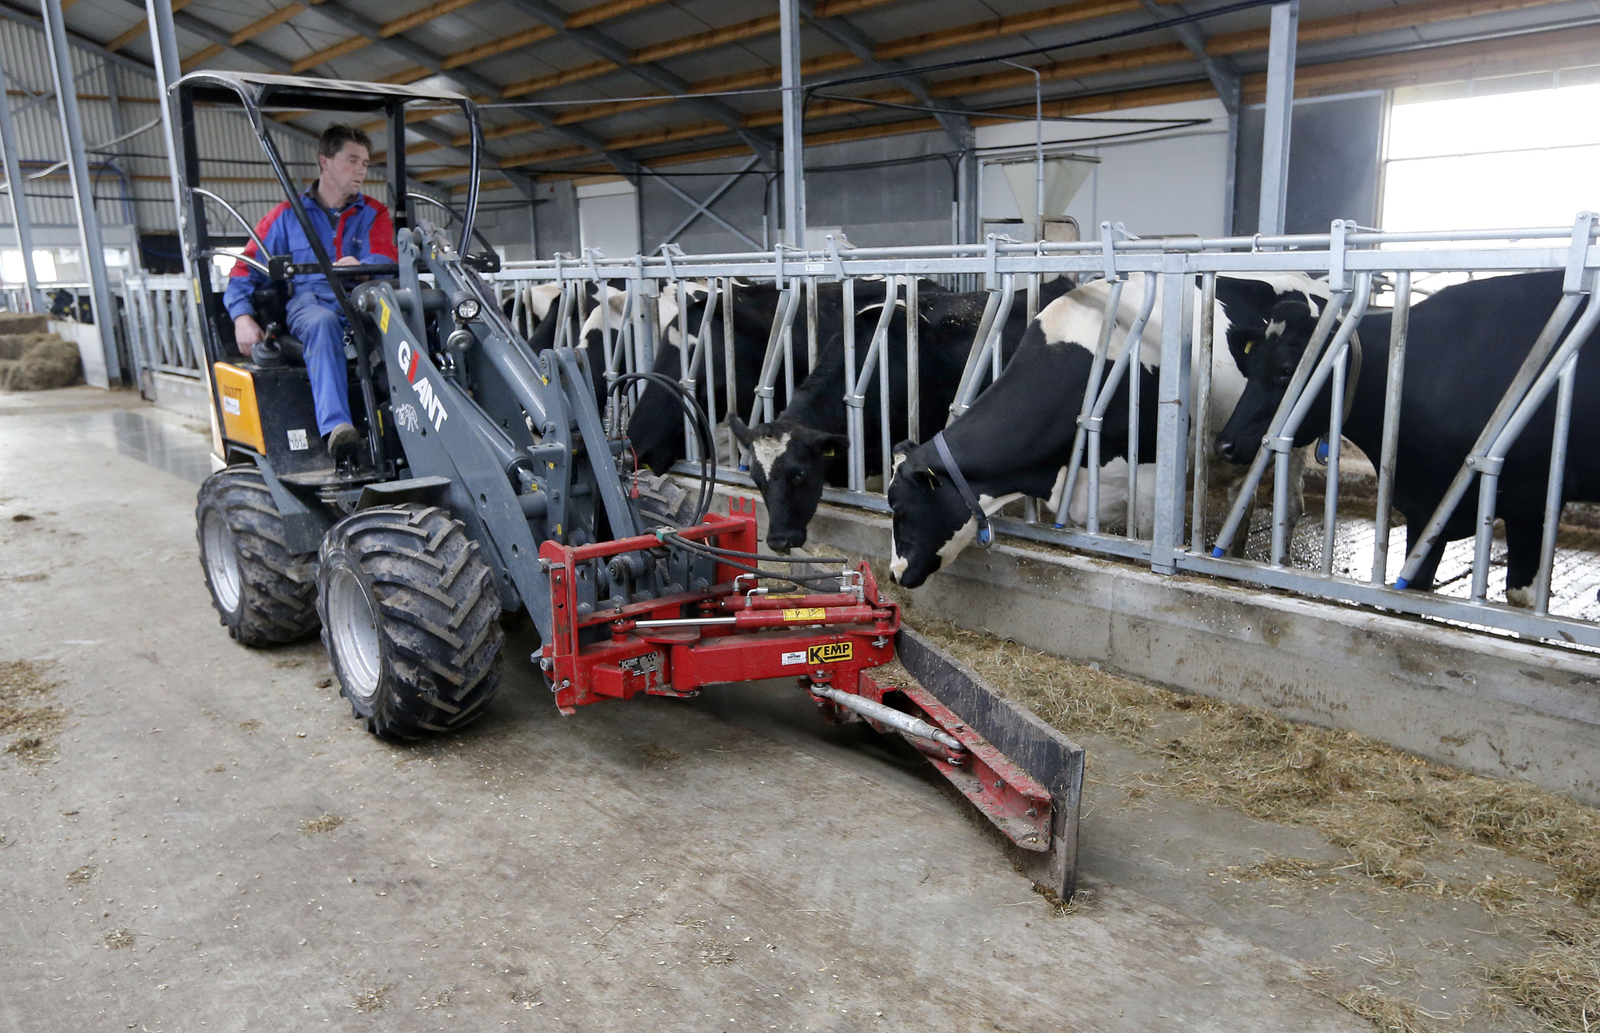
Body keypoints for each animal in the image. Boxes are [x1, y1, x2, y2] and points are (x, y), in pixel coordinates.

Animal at [889, 275, 1324, 591]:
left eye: (899, 508)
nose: (894, 574)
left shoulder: (1148, 479)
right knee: (1241, 499)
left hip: (1292, 442)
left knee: (1290, 505)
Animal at [1216, 268, 1593, 607]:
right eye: (1248, 367)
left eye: (1285, 371)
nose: (1225, 443)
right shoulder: (1427, 510)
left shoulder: (1532, 499)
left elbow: (1522, 600)